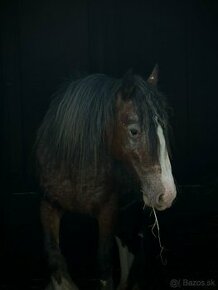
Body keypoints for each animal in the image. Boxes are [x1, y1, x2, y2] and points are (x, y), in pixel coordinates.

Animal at [35, 66, 175, 290]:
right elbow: (55, 260)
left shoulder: (108, 211)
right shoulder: (48, 205)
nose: (168, 194)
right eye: (134, 131)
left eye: (163, 129)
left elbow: (104, 263)